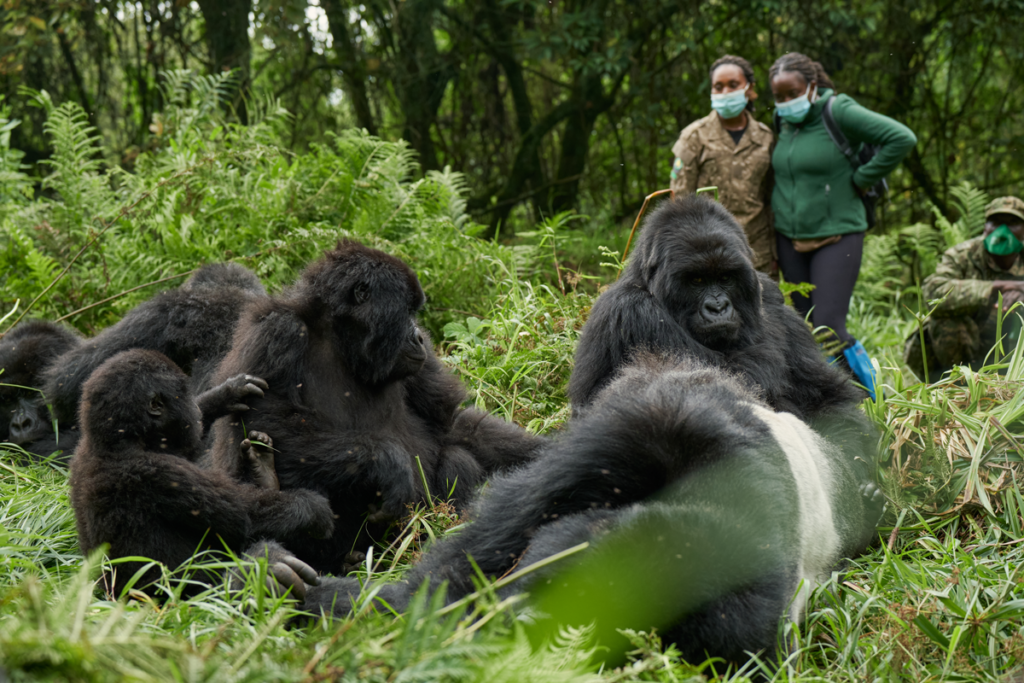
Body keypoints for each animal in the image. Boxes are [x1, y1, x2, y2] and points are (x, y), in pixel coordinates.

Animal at [72, 350, 335, 602]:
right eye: (185, 396)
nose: (194, 409)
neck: (120, 439)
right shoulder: (161, 472)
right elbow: (245, 518)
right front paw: (312, 509)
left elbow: (194, 445)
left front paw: (224, 395)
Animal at [207, 241, 544, 577]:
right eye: (406, 311)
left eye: (414, 314)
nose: (419, 337)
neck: (340, 337)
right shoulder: (277, 331)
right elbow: (265, 415)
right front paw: (388, 463)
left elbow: (450, 421)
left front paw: (541, 454)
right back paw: (270, 481)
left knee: (456, 457)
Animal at [569, 193, 864, 421]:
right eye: (697, 280)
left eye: (725, 278)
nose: (718, 307)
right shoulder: (633, 311)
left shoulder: (768, 292)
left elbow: (827, 392)